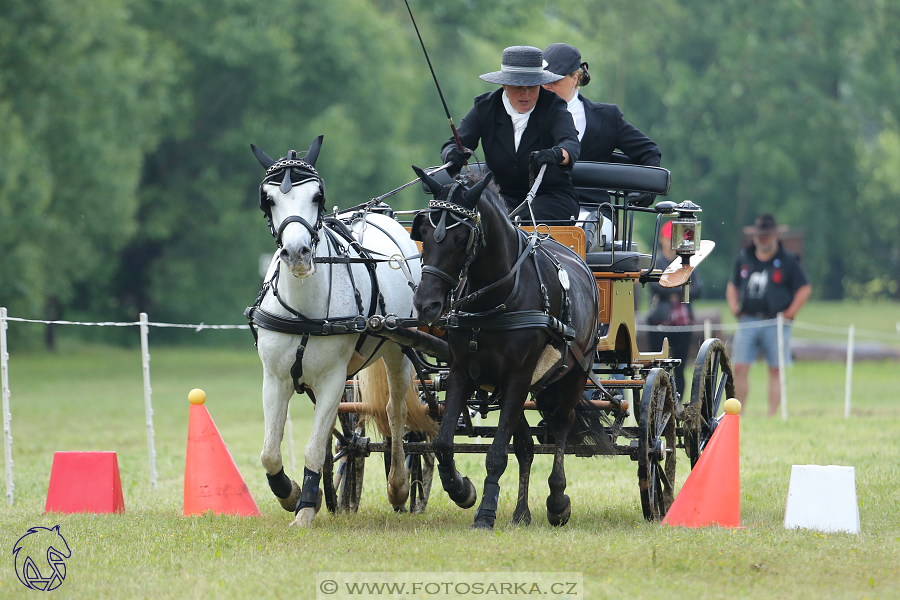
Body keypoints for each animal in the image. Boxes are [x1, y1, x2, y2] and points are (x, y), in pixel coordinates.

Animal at [244, 137, 430, 524]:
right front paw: (291, 493)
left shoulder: (332, 380)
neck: (304, 309)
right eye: (268, 198)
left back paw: (399, 486)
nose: (297, 254)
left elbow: (314, 448)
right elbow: (270, 452)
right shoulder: (275, 379)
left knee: (395, 411)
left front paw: (304, 510)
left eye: (317, 195)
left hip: (397, 349)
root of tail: (377, 214)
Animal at [410, 166, 612, 528]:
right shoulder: (462, 373)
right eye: (424, 234)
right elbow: (444, 444)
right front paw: (462, 490)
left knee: (561, 424)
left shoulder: (519, 376)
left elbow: (496, 454)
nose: (426, 305)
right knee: (526, 446)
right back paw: (521, 513)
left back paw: (557, 501)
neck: (495, 299)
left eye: (461, 240)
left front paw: (485, 513)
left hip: (574, 373)